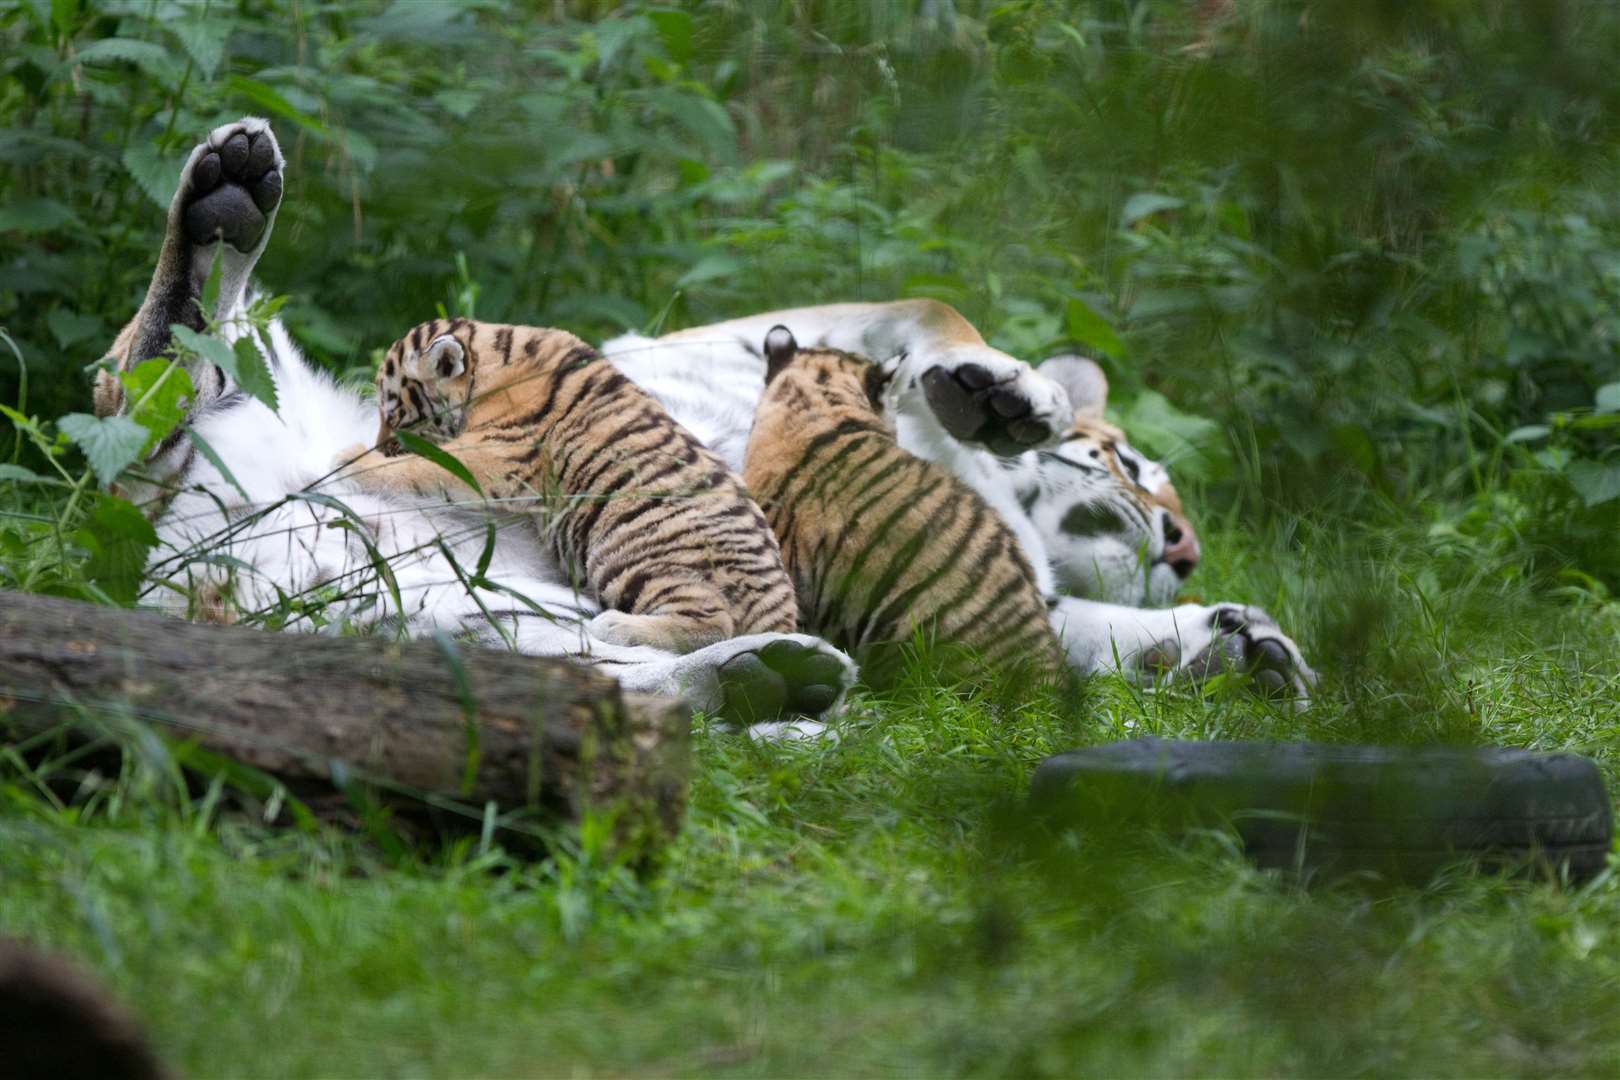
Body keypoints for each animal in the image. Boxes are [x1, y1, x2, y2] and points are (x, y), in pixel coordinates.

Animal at [333, 320, 797, 654]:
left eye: (393, 414)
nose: (380, 443)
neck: (491, 353)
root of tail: (782, 618)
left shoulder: (498, 455)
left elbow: (420, 465)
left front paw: (350, 460)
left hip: (633, 551)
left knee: (715, 622)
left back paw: (616, 626)